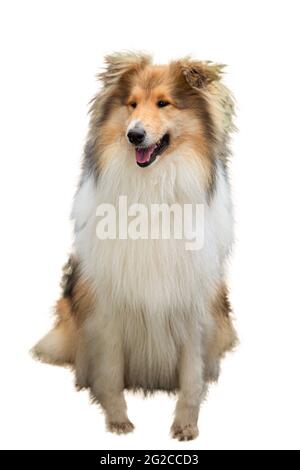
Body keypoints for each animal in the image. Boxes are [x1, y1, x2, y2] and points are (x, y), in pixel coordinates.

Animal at [32, 52, 238, 440]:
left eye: (163, 103)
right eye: (131, 104)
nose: (134, 135)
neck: (152, 189)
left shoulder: (193, 305)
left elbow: (191, 376)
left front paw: (185, 425)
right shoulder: (108, 306)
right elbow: (111, 371)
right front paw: (118, 420)